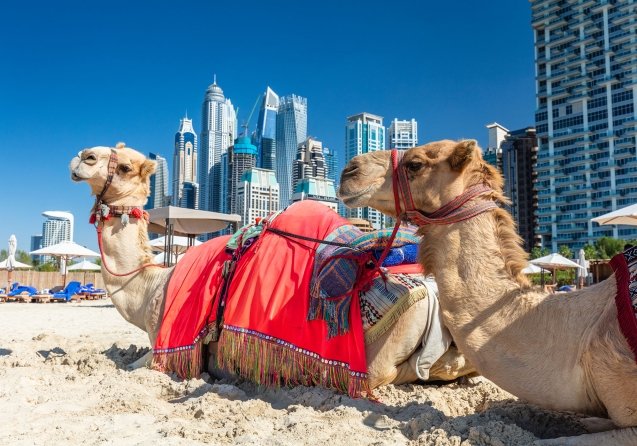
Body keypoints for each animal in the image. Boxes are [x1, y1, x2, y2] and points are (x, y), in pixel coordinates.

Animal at [69, 143, 474, 390]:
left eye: (124, 166)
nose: (82, 157)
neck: (150, 285)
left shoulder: (164, 346)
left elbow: (134, 366)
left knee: (384, 374)